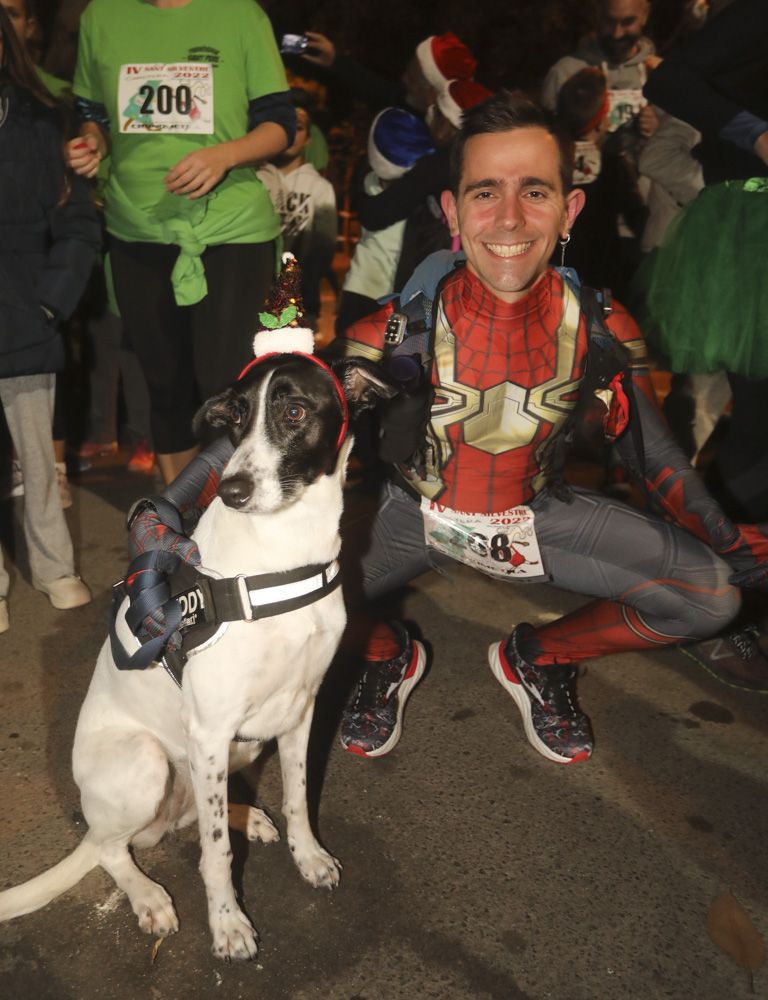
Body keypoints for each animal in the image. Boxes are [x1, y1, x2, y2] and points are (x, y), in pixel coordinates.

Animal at [0, 338, 396, 960]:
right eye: (233, 418)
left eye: (294, 412)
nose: (231, 491)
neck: (284, 556)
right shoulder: (210, 727)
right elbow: (216, 854)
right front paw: (228, 923)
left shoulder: (301, 711)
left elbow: (299, 797)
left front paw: (307, 856)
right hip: (149, 762)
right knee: (115, 849)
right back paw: (147, 894)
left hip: (235, 750)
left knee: (193, 815)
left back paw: (247, 816)